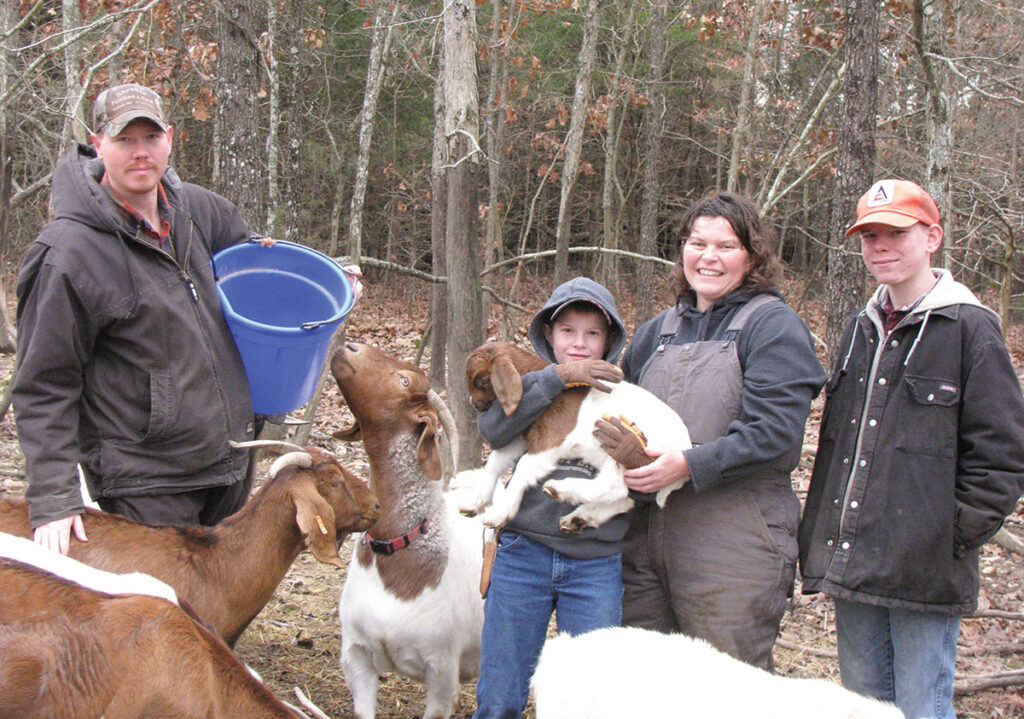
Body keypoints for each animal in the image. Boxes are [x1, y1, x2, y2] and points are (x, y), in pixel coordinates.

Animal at [454, 344, 688, 536]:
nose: (475, 405)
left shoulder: (552, 438)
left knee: (615, 486)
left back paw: (561, 490)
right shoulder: (525, 436)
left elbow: (523, 467)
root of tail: (683, 448)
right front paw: (474, 503)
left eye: (483, 380)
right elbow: (495, 462)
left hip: (626, 446)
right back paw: (579, 517)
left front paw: (500, 513)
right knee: (625, 498)